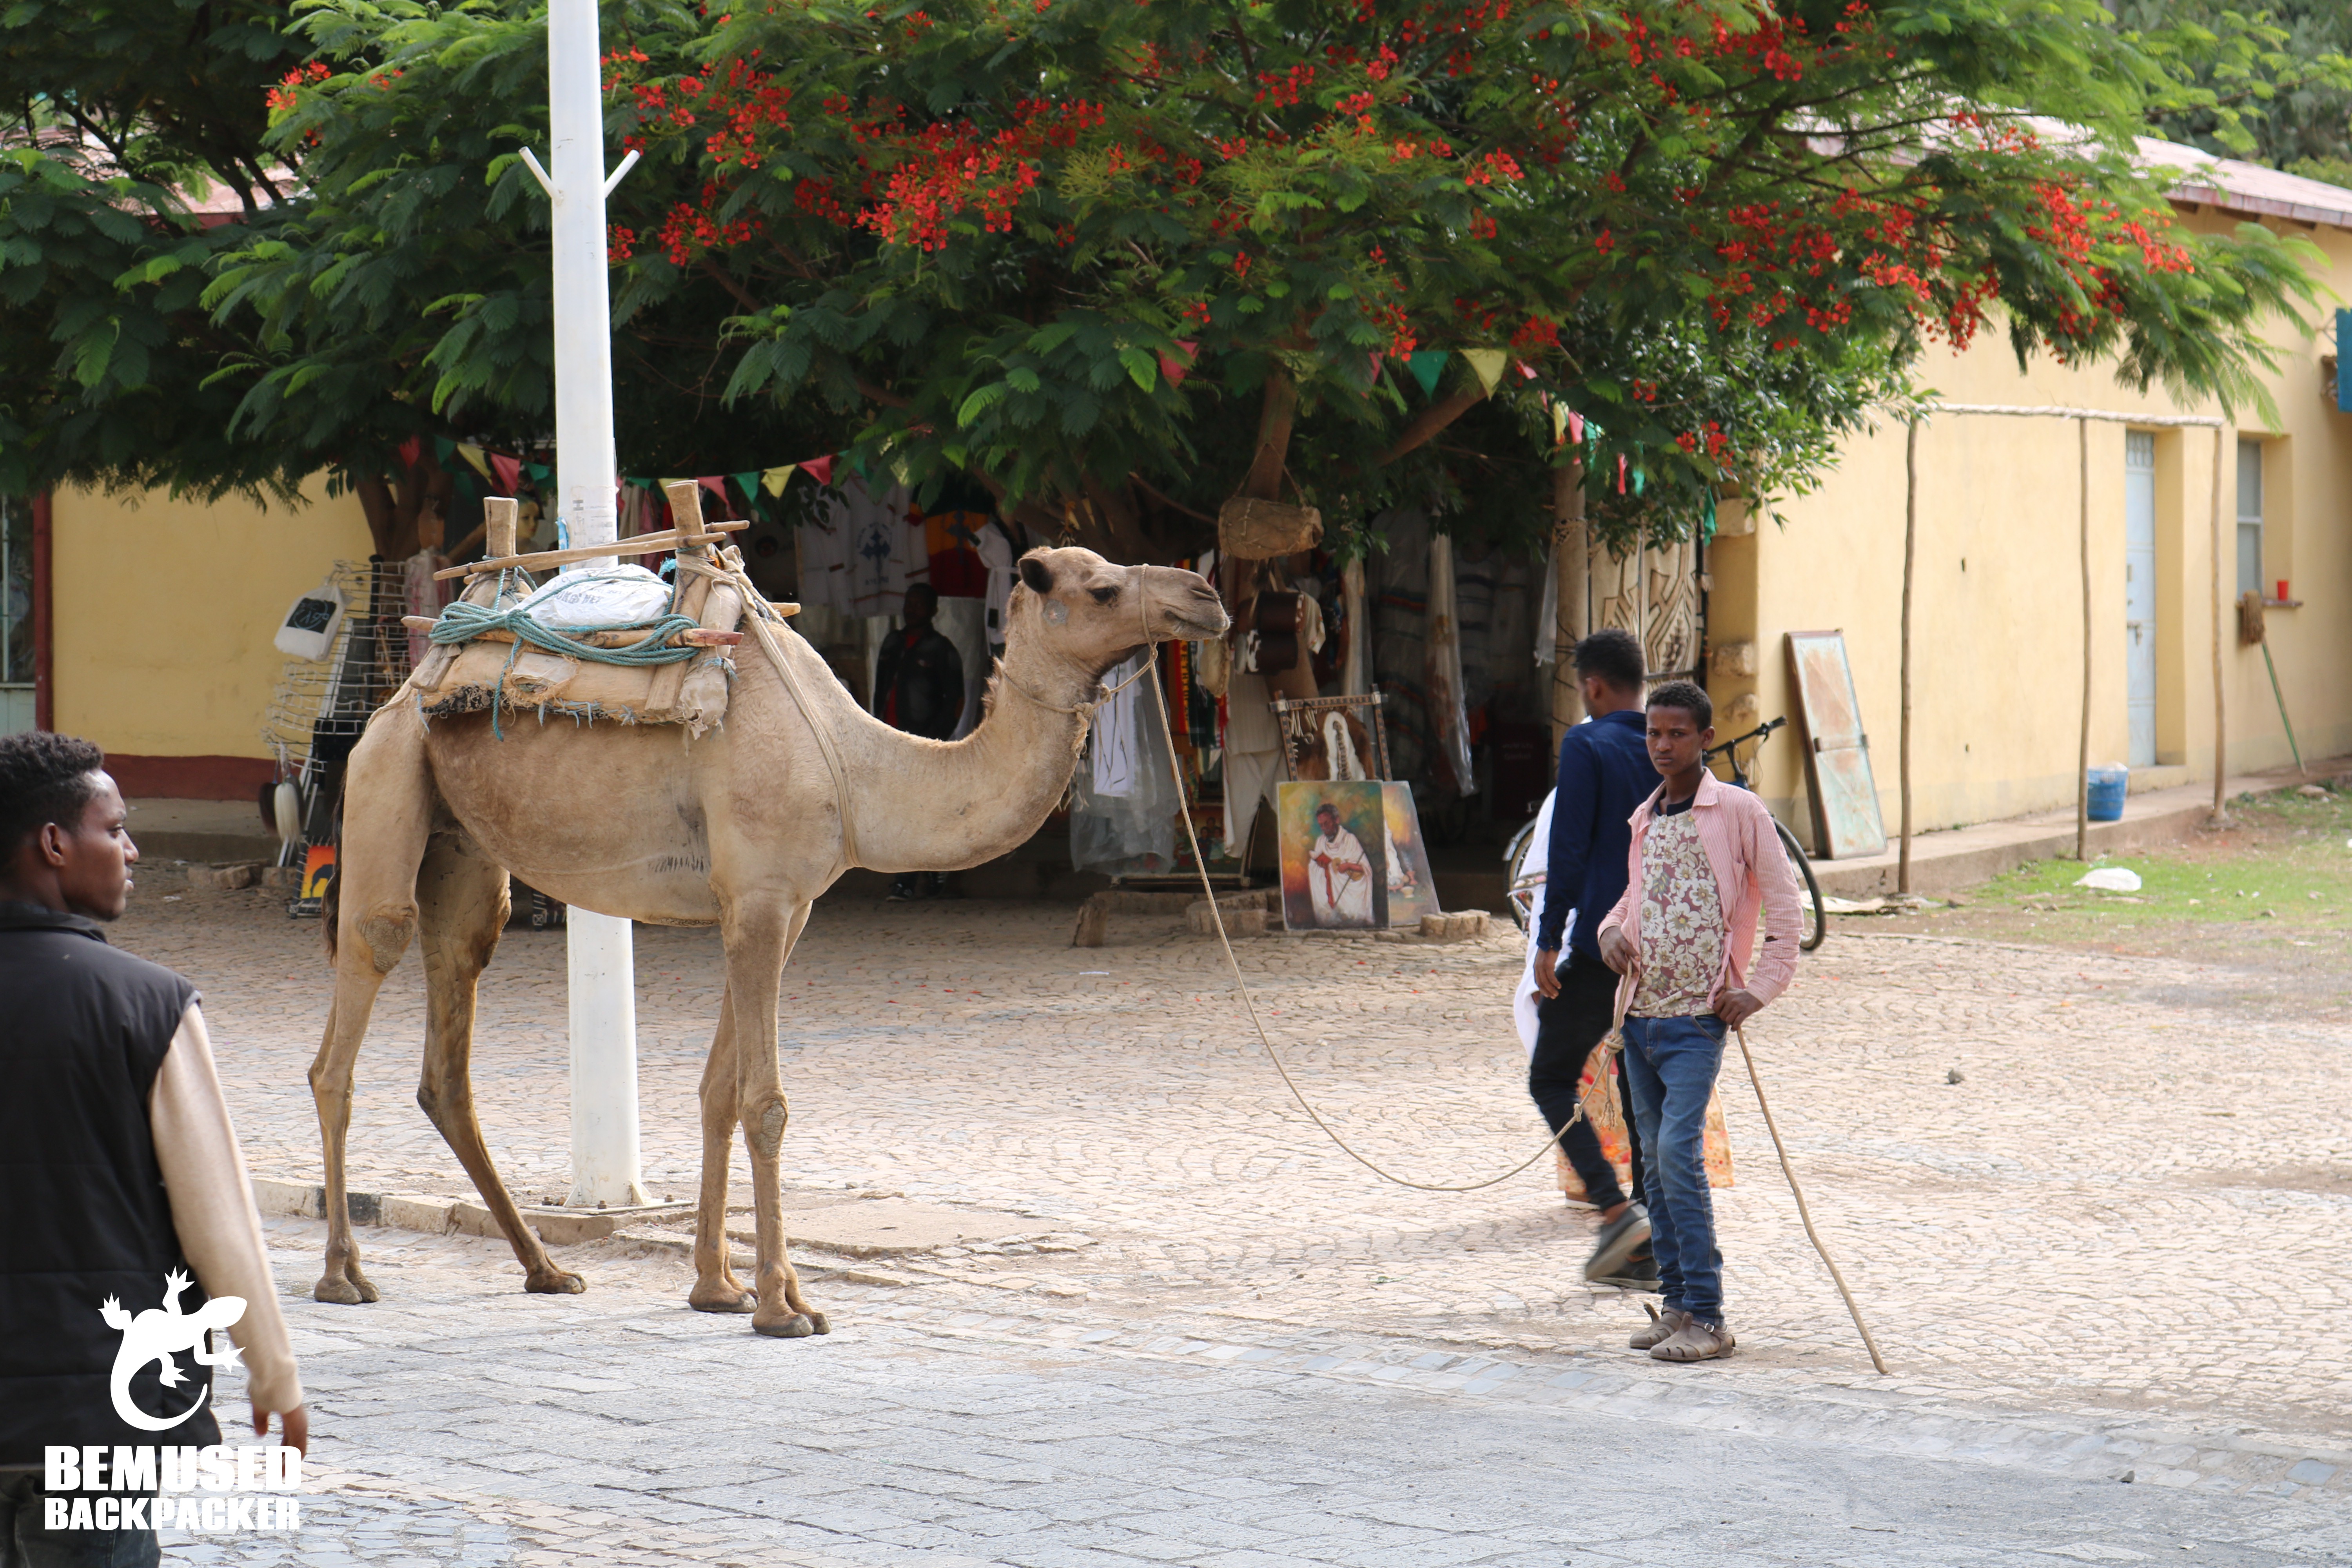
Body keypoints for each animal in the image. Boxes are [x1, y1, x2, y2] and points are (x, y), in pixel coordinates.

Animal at [310, 546, 1226, 1336]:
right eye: (1102, 588)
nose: (1205, 597)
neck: (860, 767)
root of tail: (399, 693)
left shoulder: (784, 910)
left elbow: (720, 1091)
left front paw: (719, 1287)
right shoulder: (758, 901)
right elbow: (767, 1103)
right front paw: (785, 1306)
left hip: (465, 851)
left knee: (450, 1048)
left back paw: (546, 1267)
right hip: (389, 778)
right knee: (351, 1012)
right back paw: (343, 1274)